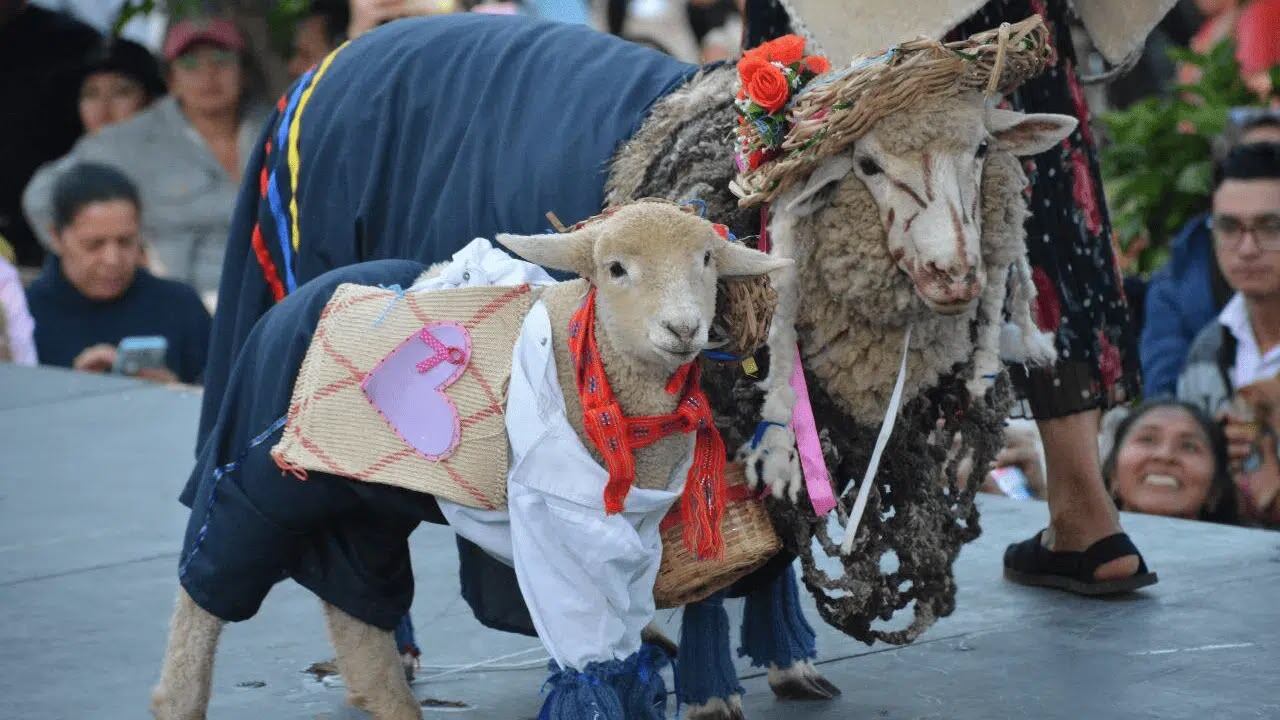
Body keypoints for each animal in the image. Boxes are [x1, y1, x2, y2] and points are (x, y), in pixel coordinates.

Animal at [150, 200, 788, 720]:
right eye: (615, 269)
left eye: (706, 259)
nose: (683, 327)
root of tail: (286, 305)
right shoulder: (558, 525)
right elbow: (592, 654)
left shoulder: (632, 530)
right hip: (275, 478)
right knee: (209, 573)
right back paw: (177, 698)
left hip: (365, 498)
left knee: (354, 601)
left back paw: (390, 703)